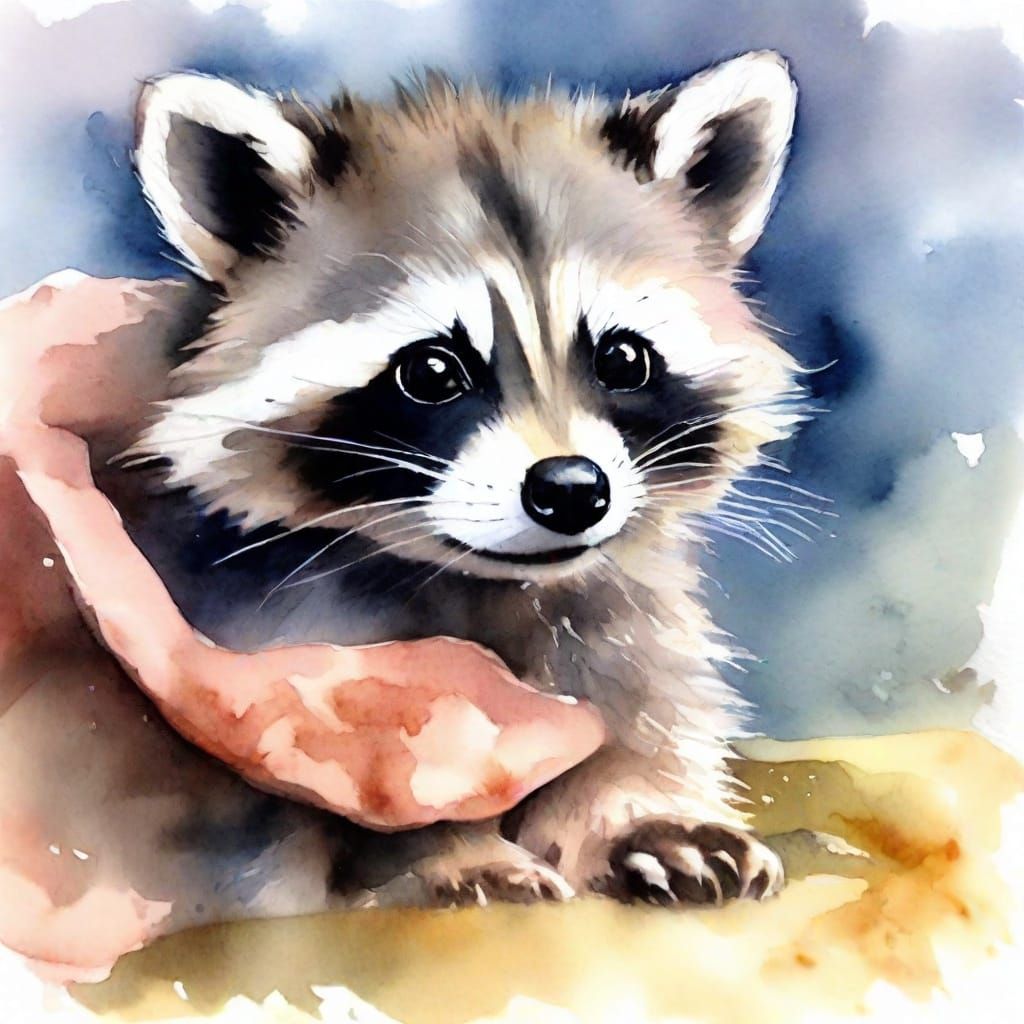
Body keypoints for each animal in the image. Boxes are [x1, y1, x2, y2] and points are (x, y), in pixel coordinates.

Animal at [123, 51, 804, 907]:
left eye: (622, 358)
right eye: (432, 372)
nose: (573, 490)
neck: (490, 580)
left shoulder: (610, 609)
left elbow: (639, 693)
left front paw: (642, 812)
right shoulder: (266, 653)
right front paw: (443, 850)